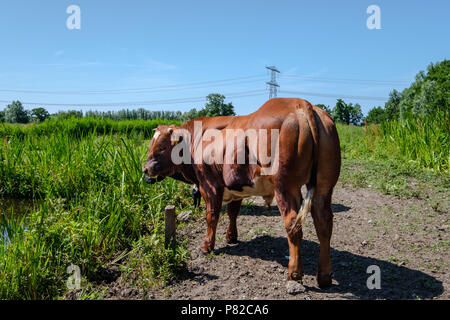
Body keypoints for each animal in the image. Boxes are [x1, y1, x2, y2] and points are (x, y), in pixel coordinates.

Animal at [142, 98, 340, 288]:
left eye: (162, 147)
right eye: (151, 145)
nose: (145, 169)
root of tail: (301, 104)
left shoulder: (210, 186)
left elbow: (211, 216)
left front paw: (207, 246)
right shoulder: (235, 188)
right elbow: (232, 212)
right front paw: (231, 236)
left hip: (285, 187)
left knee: (293, 224)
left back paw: (294, 273)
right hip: (323, 187)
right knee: (324, 223)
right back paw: (324, 276)